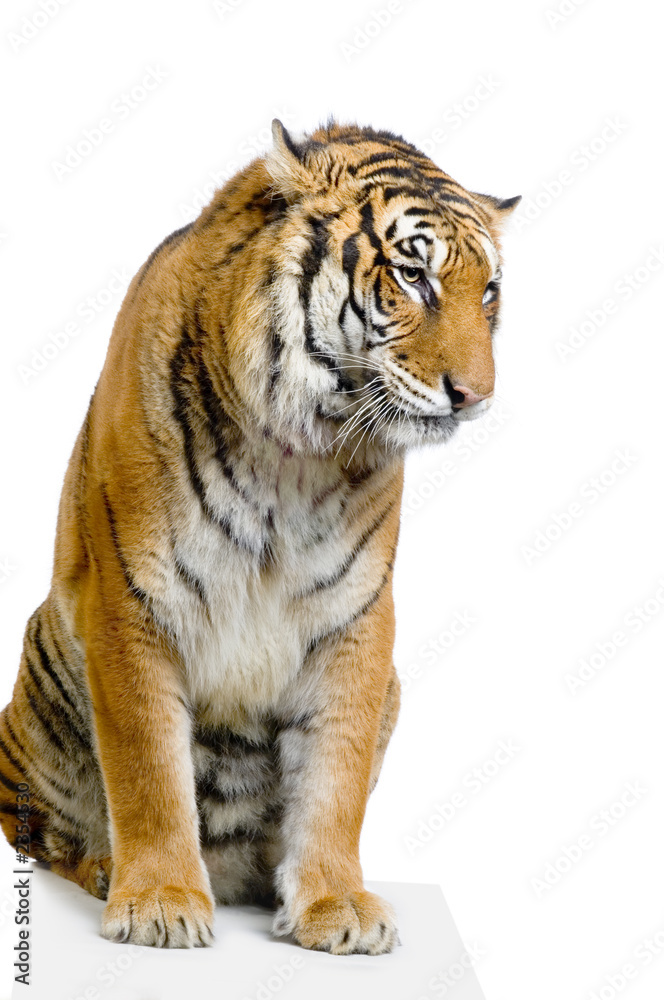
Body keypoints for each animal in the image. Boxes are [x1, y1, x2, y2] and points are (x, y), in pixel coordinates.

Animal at [0, 118, 519, 954]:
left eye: (490, 291)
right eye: (413, 275)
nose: (476, 397)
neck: (298, 455)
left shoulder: (355, 617)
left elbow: (336, 778)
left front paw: (335, 905)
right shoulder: (132, 597)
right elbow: (147, 767)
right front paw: (159, 901)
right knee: (43, 835)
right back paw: (108, 869)